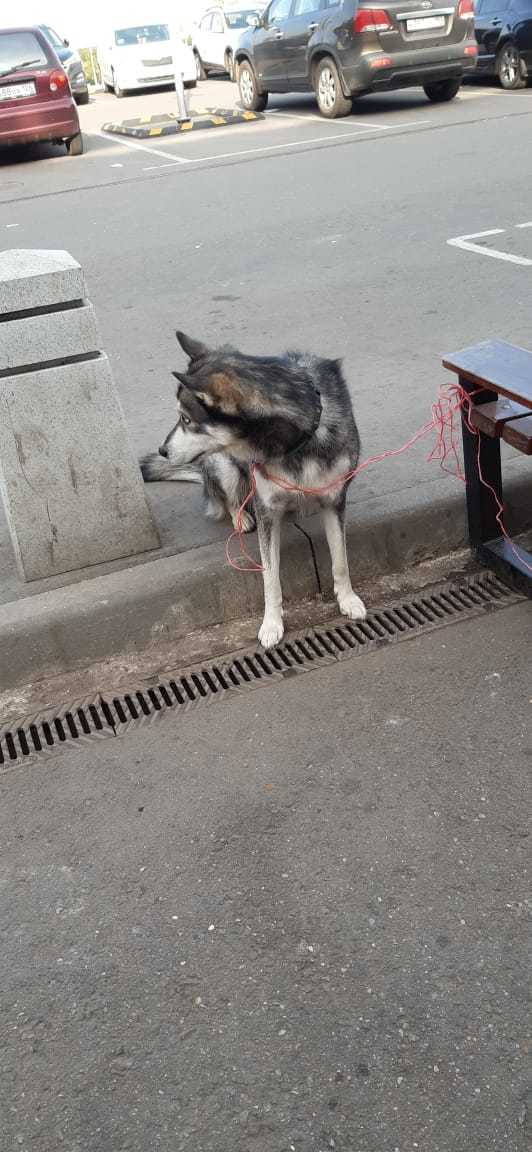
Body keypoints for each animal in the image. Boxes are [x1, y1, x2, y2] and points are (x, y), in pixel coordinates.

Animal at [140, 334, 366, 649]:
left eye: (185, 419)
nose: (163, 450)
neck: (295, 440)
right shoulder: (267, 509)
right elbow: (270, 576)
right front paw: (272, 623)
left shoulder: (334, 501)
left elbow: (341, 560)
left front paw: (347, 598)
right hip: (223, 465)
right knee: (231, 498)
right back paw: (241, 517)